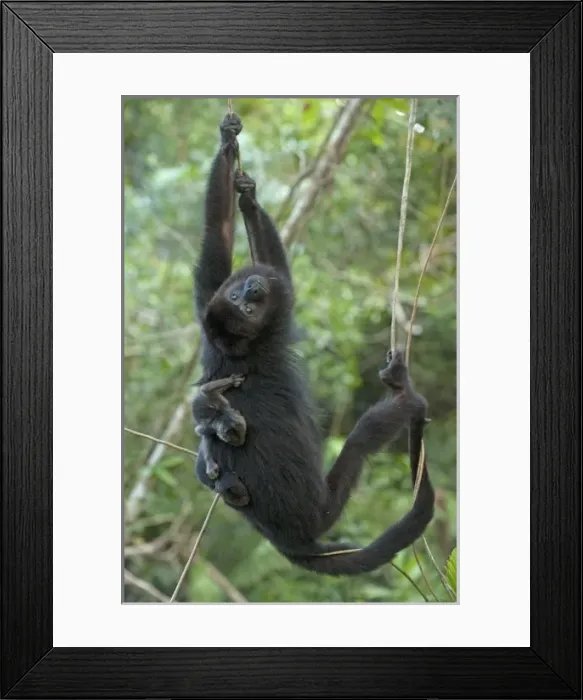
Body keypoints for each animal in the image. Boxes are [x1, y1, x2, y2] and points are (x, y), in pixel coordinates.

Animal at [190, 111, 434, 575]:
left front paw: (240, 178)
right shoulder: (270, 335)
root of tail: (291, 540)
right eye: (243, 308)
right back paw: (404, 395)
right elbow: (281, 276)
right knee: (365, 436)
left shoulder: (208, 320)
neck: (241, 349)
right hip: (326, 506)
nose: (250, 290)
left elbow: (217, 239)